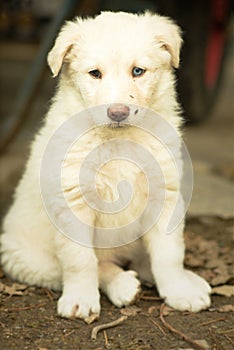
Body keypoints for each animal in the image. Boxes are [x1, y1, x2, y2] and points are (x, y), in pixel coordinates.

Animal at [0, 12, 211, 322]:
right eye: (94, 74)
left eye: (138, 71)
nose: (118, 112)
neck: (118, 139)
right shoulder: (72, 201)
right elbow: (80, 259)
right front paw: (80, 299)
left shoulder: (165, 193)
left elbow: (169, 253)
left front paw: (179, 290)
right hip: (28, 257)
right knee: (91, 265)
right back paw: (122, 284)